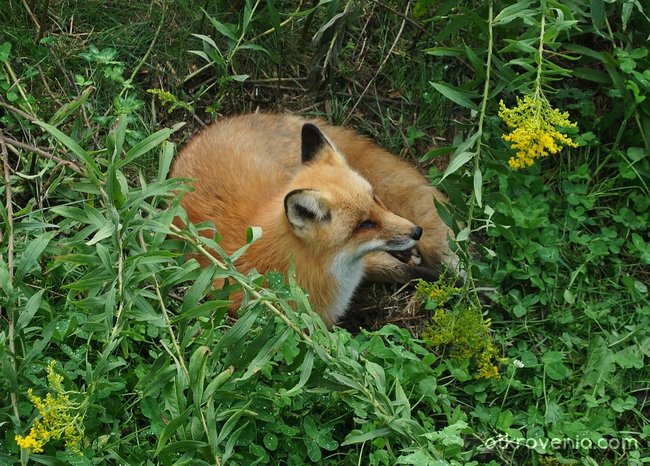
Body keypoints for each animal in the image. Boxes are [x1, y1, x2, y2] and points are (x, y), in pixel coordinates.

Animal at [172, 114, 456, 326]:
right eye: (364, 225)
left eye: (376, 199)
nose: (416, 231)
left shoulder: (367, 260)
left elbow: (405, 271)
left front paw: (447, 283)